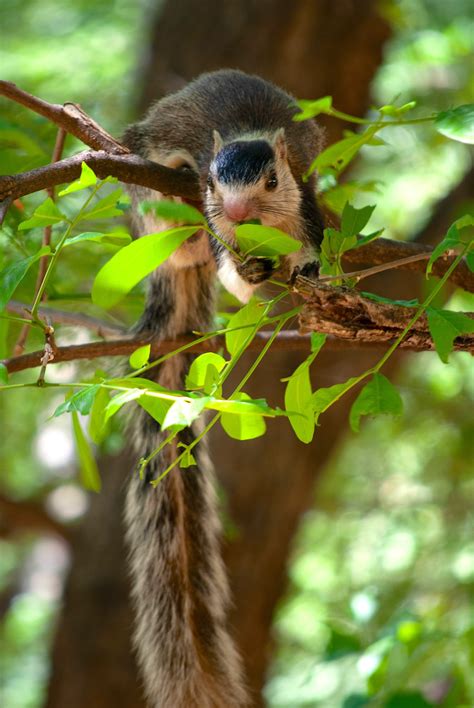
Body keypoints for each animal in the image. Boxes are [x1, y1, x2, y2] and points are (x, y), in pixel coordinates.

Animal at [120, 68, 324, 708]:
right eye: (214, 179)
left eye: (272, 179)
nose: (234, 208)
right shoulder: (216, 229)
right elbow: (235, 276)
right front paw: (250, 273)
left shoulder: (305, 201)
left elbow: (310, 248)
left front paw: (306, 272)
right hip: (154, 210)